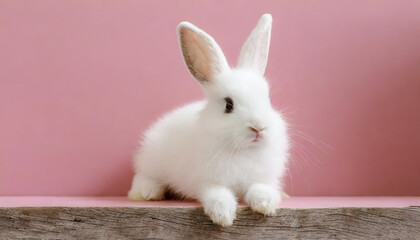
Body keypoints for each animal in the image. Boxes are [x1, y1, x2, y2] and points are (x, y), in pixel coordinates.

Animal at [128, 13, 290, 227]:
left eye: (267, 99)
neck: (243, 151)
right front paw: (223, 216)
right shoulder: (208, 182)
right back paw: (147, 193)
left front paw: (266, 205)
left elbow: (260, 188)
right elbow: (218, 194)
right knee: (142, 177)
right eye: (228, 105)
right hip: (151, 160)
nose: (258, 127)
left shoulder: (263, 179)